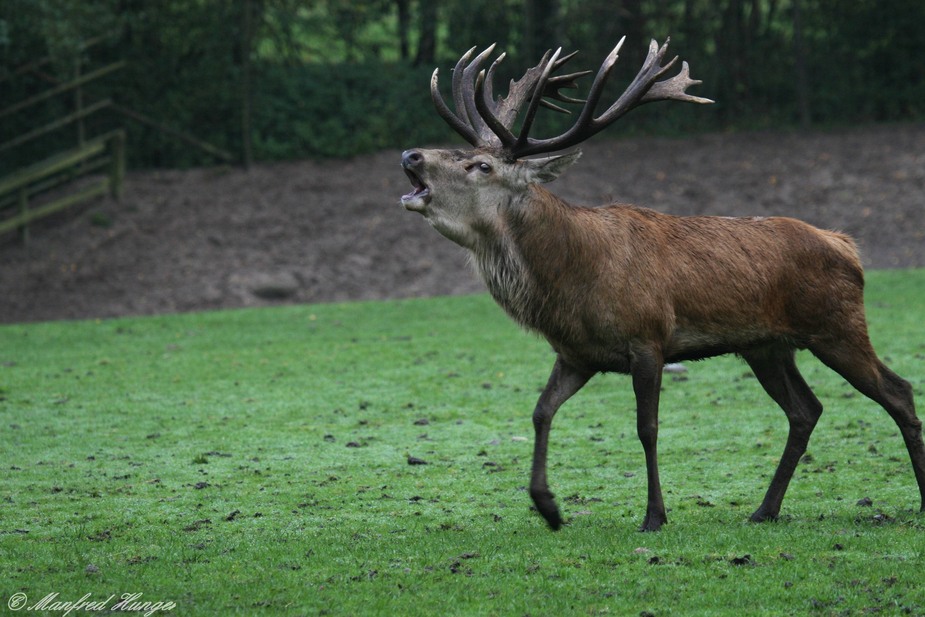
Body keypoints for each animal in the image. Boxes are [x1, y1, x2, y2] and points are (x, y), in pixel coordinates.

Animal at [398, 36, 924, 532]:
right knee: (806, 410)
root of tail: (846, 245)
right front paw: (548, 507)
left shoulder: (647, 337)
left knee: (897, 391)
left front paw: (654, 515)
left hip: (837, 326)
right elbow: (541, 412)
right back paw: (764, 510)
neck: (570, 283)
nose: (411, 154)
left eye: (481, 166)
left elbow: (646, 428)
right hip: (767, 346)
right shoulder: (576, 354)